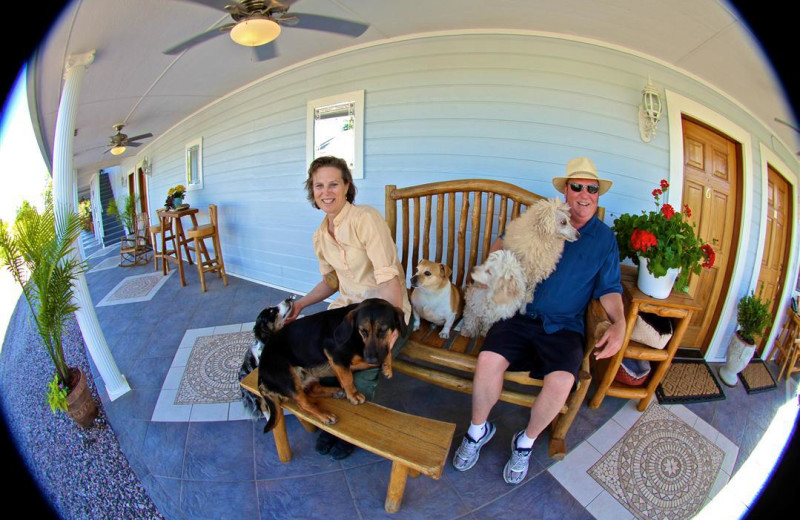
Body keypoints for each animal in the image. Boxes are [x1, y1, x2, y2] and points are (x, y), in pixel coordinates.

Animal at [256, 296, 406, 430]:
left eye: (383, 330)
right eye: (363, 330)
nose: (372, 358)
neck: (356, 336)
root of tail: (261, 373)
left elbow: (383, 352)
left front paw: (386, 366)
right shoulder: (335, 356)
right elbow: (347, 378)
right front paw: (353, 395)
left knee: (312, 390)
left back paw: (336, 391)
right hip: (288, 377)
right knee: (303, 403)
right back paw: (325, 415)